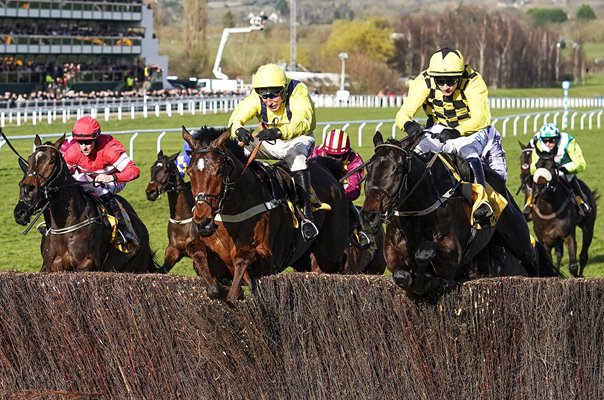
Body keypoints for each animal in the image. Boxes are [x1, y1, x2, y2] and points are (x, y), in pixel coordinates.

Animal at [13, 134, 158, 272]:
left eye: (52, 160)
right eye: (30, 159)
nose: (20, 211)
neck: (65, 226)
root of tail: (142, 228)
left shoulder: (89, 263)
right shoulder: (49, 266)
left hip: (137, 265)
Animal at [146, 150, 229, 278]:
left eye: (166, 170)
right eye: (152, 168)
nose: (150, 192)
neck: (182, 219)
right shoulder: (173, 251)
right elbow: (161, 269)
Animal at [182, 125, 346, 304]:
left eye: (219, 171)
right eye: (189, 171)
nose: (202, 221)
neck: (233, 214)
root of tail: (327, 169)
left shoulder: (269, 262)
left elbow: (244, 257)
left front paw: (236, 292)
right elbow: (195, 249)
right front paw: (219, 290)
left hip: (329, 256)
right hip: (304, 261)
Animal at [358, 132, 560, 300]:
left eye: (399, 170)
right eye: (369, 169)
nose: (369, 216)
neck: (417, 211)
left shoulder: (452, 255)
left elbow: (425, 251)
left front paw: (428, 279)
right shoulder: (391, 253)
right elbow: (402, 276)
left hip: (517, 237)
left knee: (532, 255)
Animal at [528, 148, 596, 276]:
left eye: (553, 166)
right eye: (537, 165)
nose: (540, 187)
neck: (550, 210)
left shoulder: (568, 235)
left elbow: (573, 266)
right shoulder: (545, 241)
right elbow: (550, 265)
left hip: (588, 226)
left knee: (583, 256)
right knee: (559, 255)